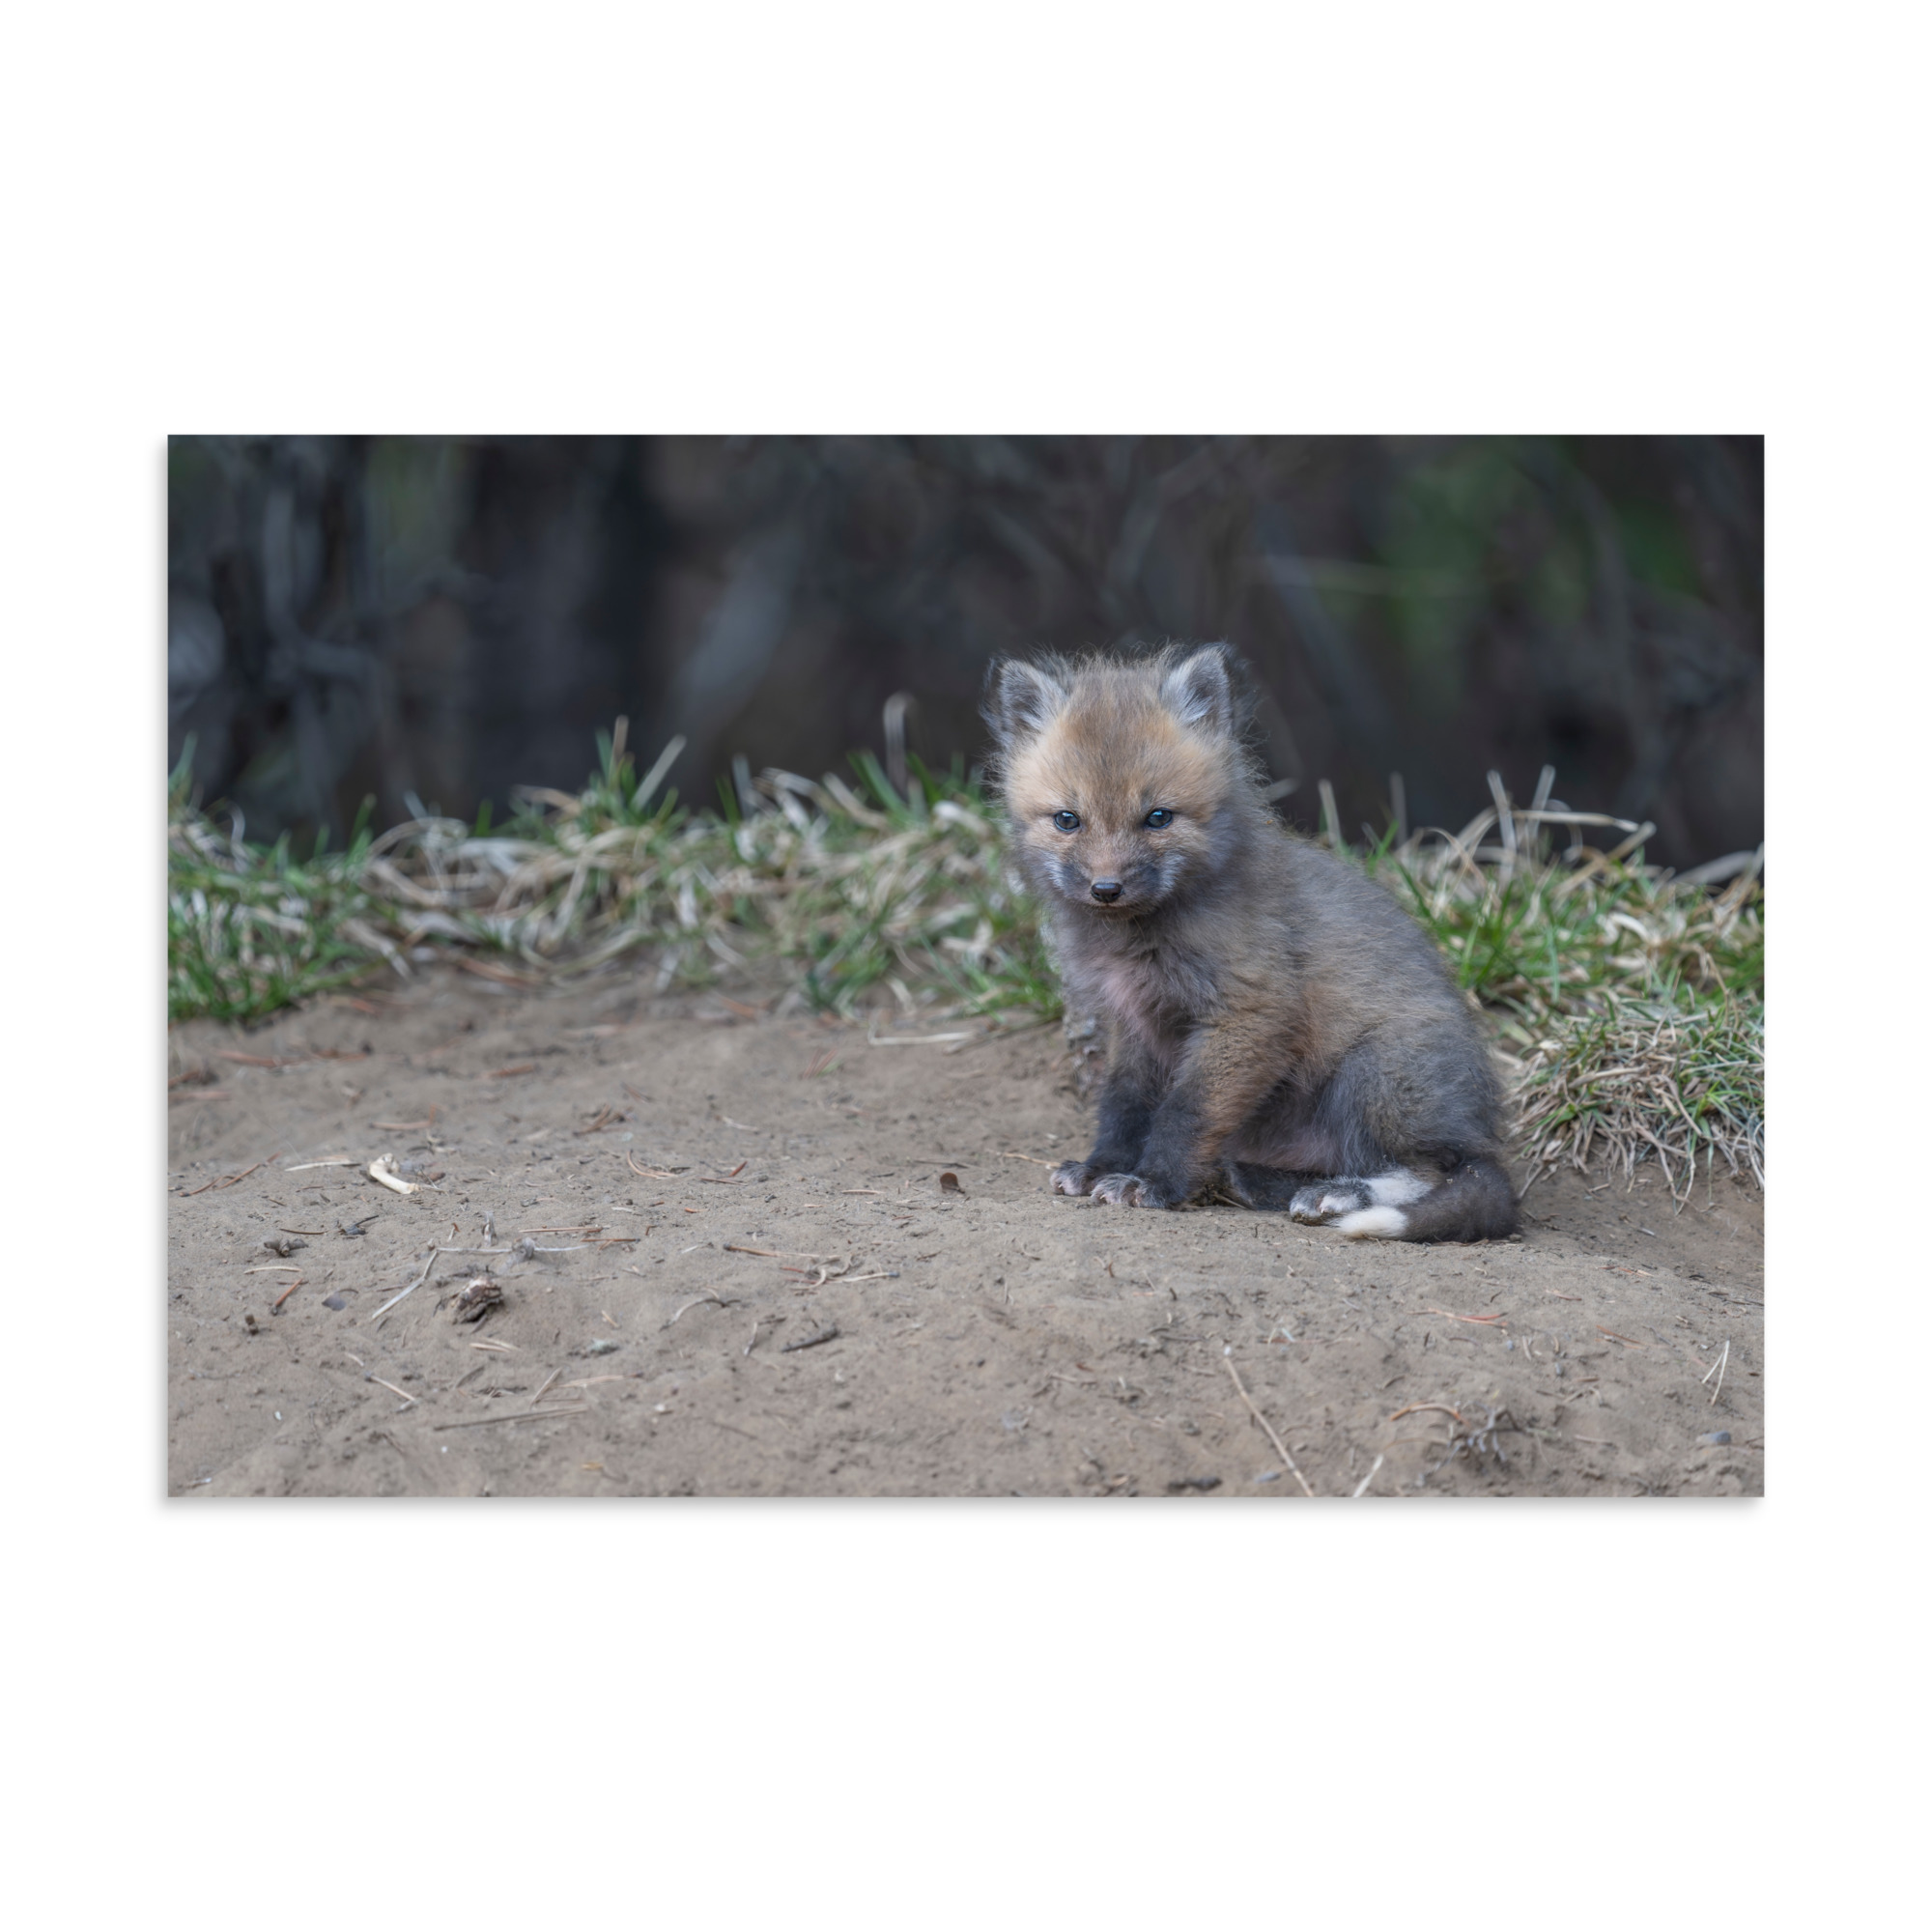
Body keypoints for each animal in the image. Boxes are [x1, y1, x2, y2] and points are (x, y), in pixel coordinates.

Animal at [983, 643, 1518, 1243]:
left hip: (1374, 1074)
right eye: (1067, 820)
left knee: (1434, 1171)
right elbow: (1123, 1106)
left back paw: (1339, 1195)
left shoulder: (1249, 1012)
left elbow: (1185, 1112)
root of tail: (1481, 1130)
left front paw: (1154, 1184)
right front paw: (1103, 1167)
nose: (1106, 889)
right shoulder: (1135, 1023)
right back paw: (1259, 1181)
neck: (1138, 939)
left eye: (1158, 817)